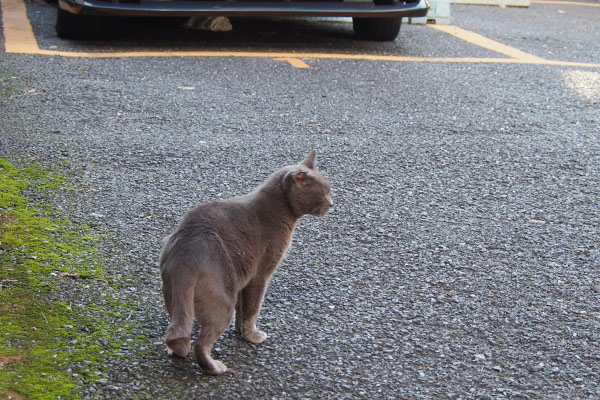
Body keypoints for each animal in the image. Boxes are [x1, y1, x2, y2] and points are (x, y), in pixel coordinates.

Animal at [159, 150, 332, 376]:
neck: (282, 211)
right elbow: (253, 308)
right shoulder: (260, 274)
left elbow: (243, 308)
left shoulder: (244, 277)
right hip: (223, 296)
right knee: (201, 342)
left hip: (174, 292)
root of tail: (187, 248)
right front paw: (253, 337)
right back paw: (215, 367)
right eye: (324, 192)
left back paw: (175, 350)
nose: (332, 204)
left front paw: (240, 331)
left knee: (178, 328)